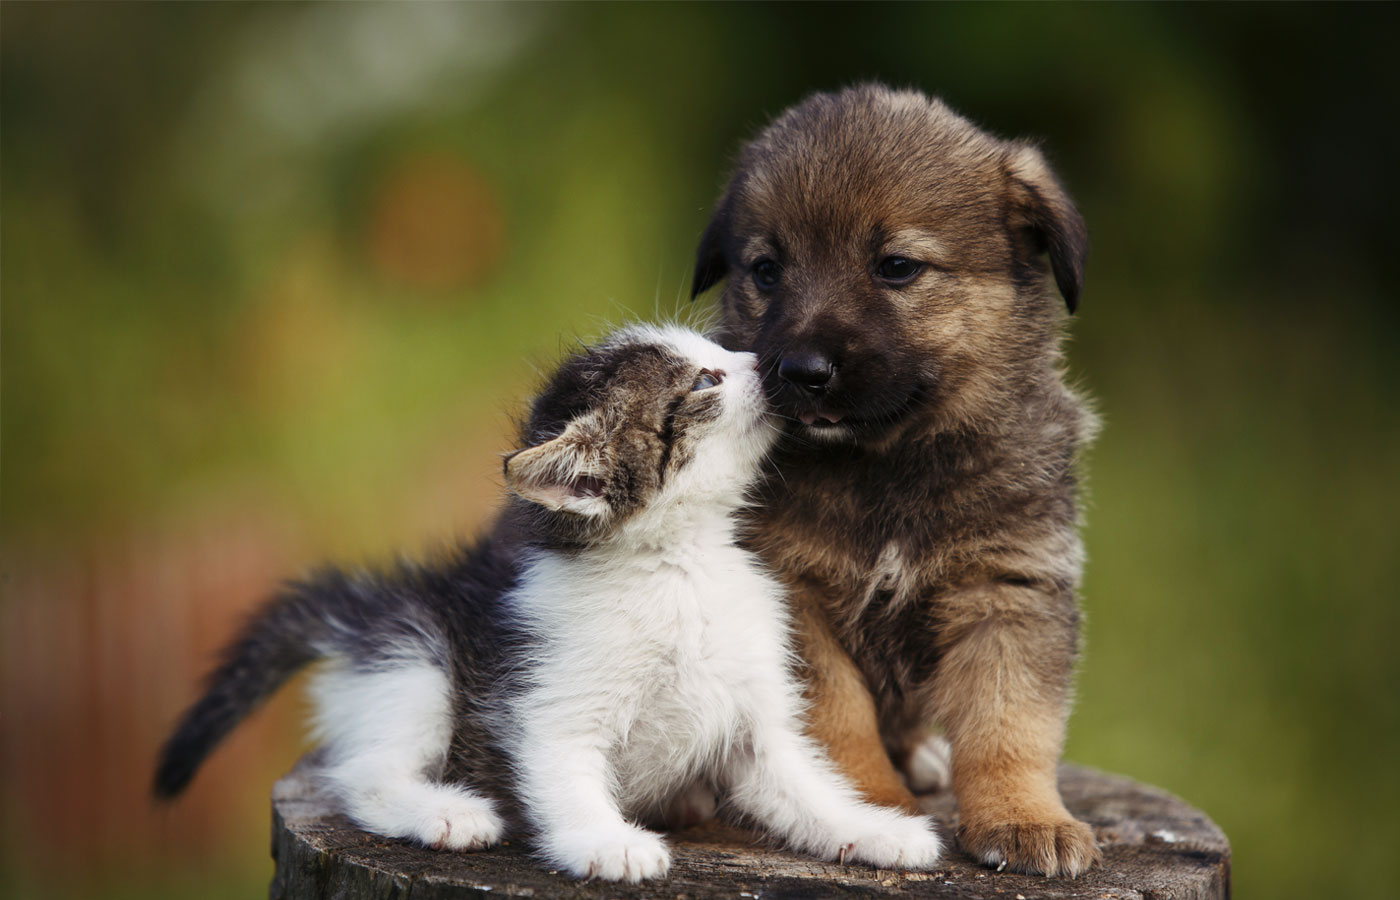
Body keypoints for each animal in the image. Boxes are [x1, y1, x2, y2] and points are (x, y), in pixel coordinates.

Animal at [153, 327, 946, 884]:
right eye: (706, 378)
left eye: (719, 352)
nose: (773, 362)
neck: (679, 566)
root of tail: (373, 607)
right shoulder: (548, 703)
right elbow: (565, 779)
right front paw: (607, 842)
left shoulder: (756, 721)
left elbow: (804, 784)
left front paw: (876, 831)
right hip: (414, 662)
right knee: (363, 774)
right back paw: (448, 812)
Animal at [694, 86, 1097, 879]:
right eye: (766, 270)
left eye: (897, 267)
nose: (802, 371)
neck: (887, 466)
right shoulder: (794, 595)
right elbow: (834, 718)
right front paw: (864, 807)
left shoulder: (1007, 588)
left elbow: (1010, 722)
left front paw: (1025, 817)